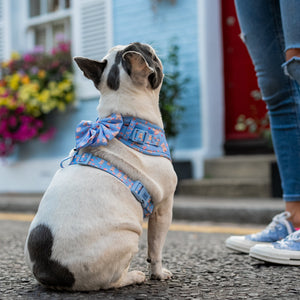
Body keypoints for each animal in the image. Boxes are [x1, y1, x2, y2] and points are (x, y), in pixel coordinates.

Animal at [24, 42, 178, 290]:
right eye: (150, 55)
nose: (148, 45)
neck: (124, 118)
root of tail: (51, 272)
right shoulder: (164, 208)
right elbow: (155, 248)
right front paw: (159, 274)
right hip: (128, 238)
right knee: (111, 282)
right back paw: (133, 276)